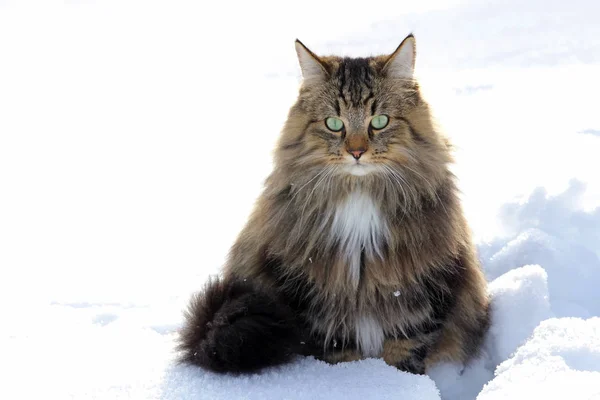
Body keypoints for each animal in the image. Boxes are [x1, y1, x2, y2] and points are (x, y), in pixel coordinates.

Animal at [176, 34, 490, 376]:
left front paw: (399, 381)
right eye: (334, 123)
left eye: (380, 121)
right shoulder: (312, 292)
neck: (359, 196)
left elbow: (406, 349)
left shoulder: (423, 286)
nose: (356, 152)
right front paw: (350, 379)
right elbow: (340, 350)